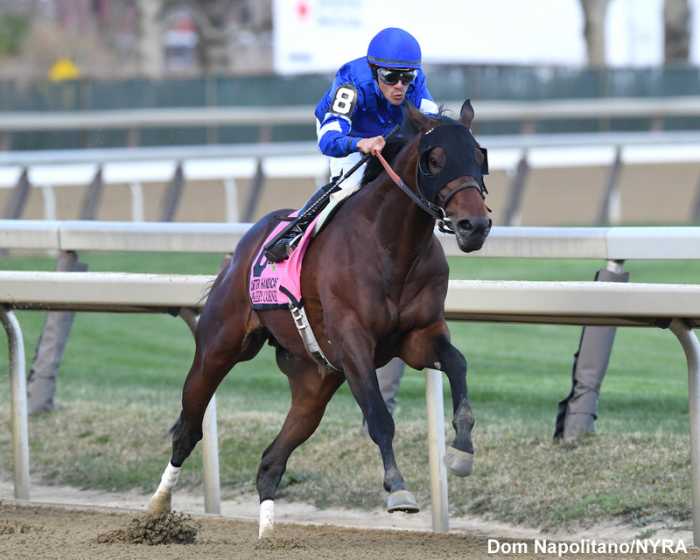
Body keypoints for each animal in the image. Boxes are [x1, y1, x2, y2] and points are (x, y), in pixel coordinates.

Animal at [147, 100, 492, 538]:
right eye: (435, 159)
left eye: (479, 156)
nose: (474, 225)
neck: (390, 247)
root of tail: (241, 251)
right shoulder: (353, 343)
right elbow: (379, 417)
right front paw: (397, 488)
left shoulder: (419, 336)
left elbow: (457, 363)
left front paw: (462, 450)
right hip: (218, 348)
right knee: (188, 430)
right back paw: (157, 508)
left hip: (315, 379)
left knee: (270, 462)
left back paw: (267, 534)